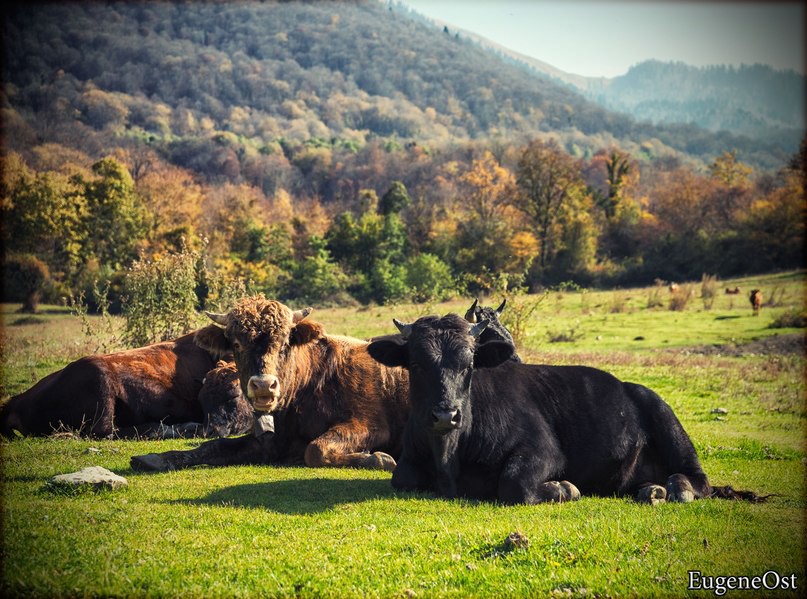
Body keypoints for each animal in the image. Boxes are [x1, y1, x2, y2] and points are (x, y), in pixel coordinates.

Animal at [0, 332, 252, 440]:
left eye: (232, 395)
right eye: (202, 400)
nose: (212, 430)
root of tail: (16, 401)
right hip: (99, 382)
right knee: (105, 432)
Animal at [130, 297, 520, 472]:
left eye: (285, 341)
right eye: (236, 343)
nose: (264, 387)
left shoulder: (367, 425)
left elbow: (316, 450)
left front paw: (379, 458)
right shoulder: (266, 442)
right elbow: (211, 447)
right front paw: (152, 458)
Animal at [367, 313, 762, 505]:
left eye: (469, 365)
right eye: (416, 364)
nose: (446, 415)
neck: (448, 455)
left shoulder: (543, 450)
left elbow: (514, 484)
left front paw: (564, 489)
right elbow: (402, 477)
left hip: (669, 424)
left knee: (699, 479)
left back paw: (676, 488)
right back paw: (653, 490)